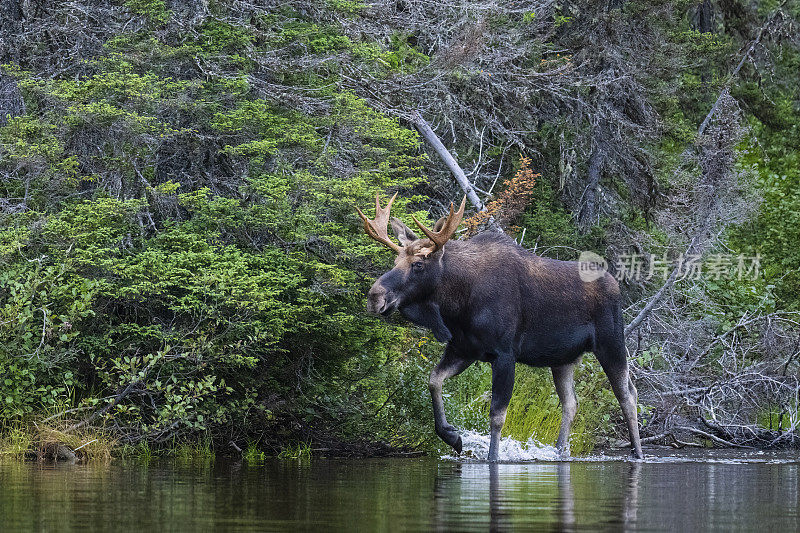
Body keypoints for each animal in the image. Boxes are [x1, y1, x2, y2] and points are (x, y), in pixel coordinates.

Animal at [358, 192, 644, 462]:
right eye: (395, 262)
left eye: (418, 264)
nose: (375, 296)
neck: (457, 304)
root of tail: (616, 283)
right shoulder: (463, 349)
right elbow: (433, 380)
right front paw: (452, 436)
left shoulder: (505, 354)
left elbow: (497, 414)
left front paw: (492, 457)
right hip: (562, 358)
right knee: (571, 403)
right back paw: (560, 452)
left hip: (611, 342)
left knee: (628, 395)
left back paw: (637, 453)